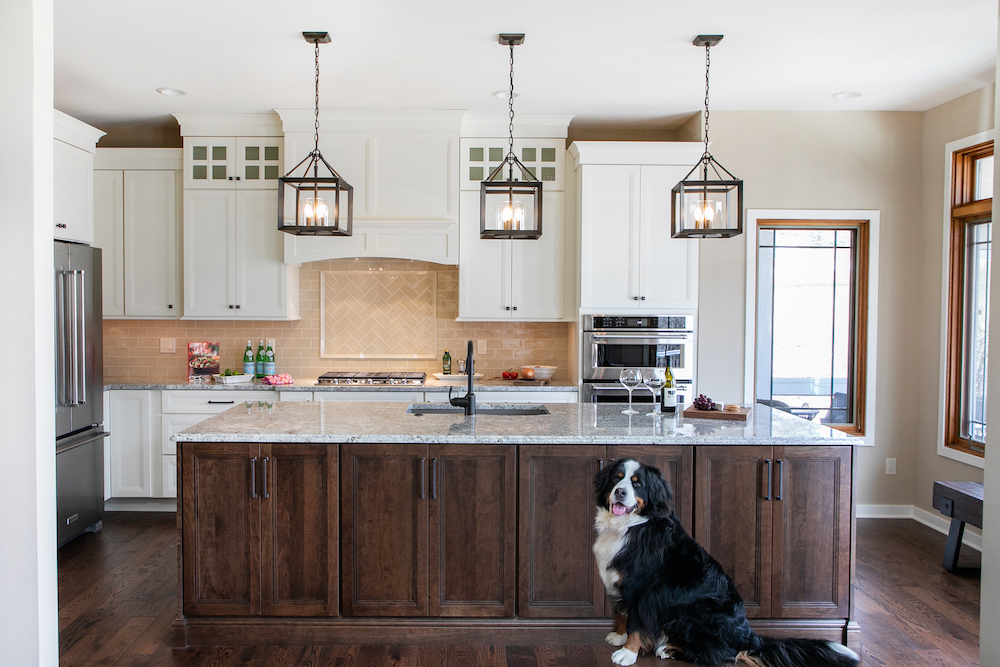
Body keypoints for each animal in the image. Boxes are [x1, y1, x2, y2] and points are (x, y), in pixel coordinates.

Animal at [592, 460, 860, 667]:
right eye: (617, 479)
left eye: (637, 483)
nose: (620, 492)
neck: (632, 527)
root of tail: (747, 635)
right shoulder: (624, 584)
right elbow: (623, 614)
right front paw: (619, 637)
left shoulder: (642, 590)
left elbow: (636, 624)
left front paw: (627, 653)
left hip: (692, 611)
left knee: (720, 654)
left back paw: (669, 648)